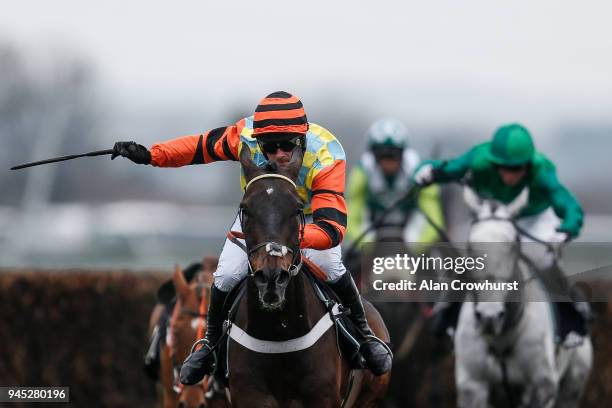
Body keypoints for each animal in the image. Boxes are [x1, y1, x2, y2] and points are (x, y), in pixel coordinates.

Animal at [226, 147, 392, 408]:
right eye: (245, 208)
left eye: (296, 208)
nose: (272, 277)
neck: (279, 334)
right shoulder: (251, 395)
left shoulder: (321, 396)